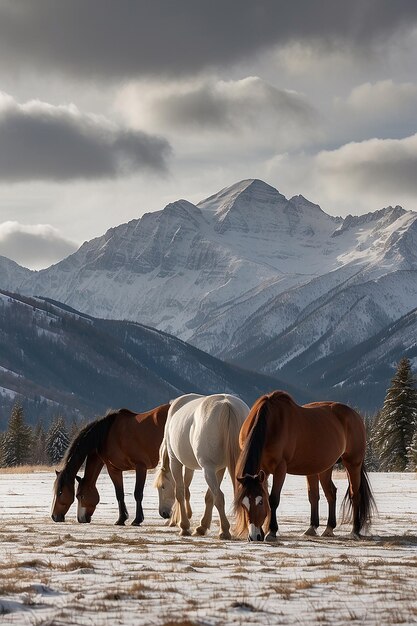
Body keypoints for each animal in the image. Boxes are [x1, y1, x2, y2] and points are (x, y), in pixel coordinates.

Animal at [154, 394, 249, 536]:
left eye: (162, 487)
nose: (163, 513)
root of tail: (226, 405)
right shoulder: (217, 468)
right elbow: (206, 496)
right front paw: (201, 526)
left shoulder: (175, 462)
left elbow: (180, 492)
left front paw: (184, 526)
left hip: (207, 469)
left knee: (219, 497)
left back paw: (225, 531)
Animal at [234, 392, 374, 540]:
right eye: (243, 504)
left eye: (260, 502)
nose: (254, 536)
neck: (270, 423)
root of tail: (355, 416)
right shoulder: (263, 470)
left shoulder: (280, 468)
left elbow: (273, 499)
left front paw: (272, 531)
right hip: (324, 467)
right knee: (329, 493)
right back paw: (324, 528)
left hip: (353, 463)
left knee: (355, 495)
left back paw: (354, 531)